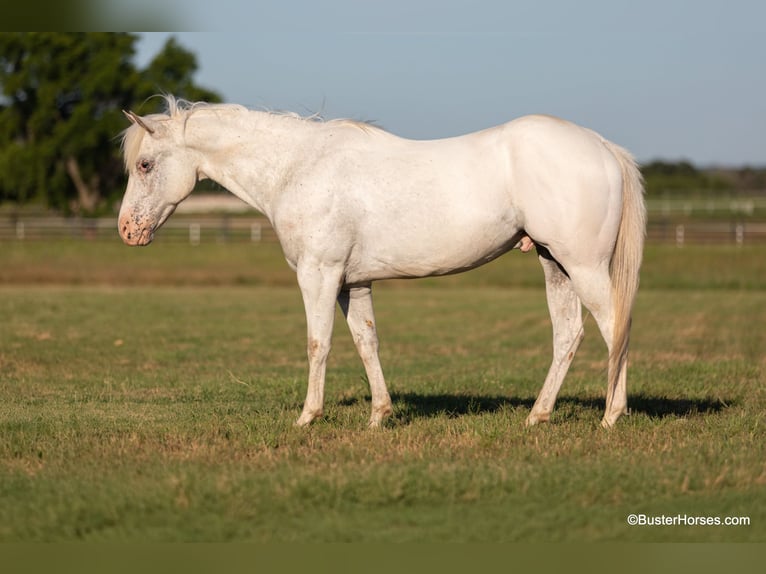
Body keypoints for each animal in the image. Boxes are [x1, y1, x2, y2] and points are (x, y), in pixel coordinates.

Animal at [118, 96, 645, 429]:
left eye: (144, 165)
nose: (127, 230)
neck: (297, 168)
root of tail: (602, 146)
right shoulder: (353, 283)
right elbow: (365, 342)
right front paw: (379, 416)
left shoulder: (318, 275)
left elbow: (318, 343)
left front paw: (307, 417)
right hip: (554, 265)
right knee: (569, 335)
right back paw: (538, 416)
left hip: (584, 266)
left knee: (614, 327)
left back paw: (611, 416)